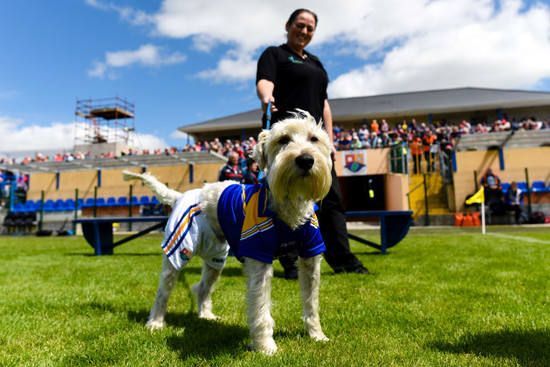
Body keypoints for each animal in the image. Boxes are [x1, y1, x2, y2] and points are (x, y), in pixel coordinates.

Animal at [123, 110, 334, 356]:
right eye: (283, 140)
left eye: (314, 139)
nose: (306, 160)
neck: (289, 207)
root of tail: (181, 195)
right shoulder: (258, 258)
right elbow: (261, 307)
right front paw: (266, 346)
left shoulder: (311, 256)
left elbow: (311, 303)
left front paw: (317, 336)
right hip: (178, 251)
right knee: (163, 291)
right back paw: (155, 322)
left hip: (216, 258)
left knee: (202, 288)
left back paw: (206, 316)